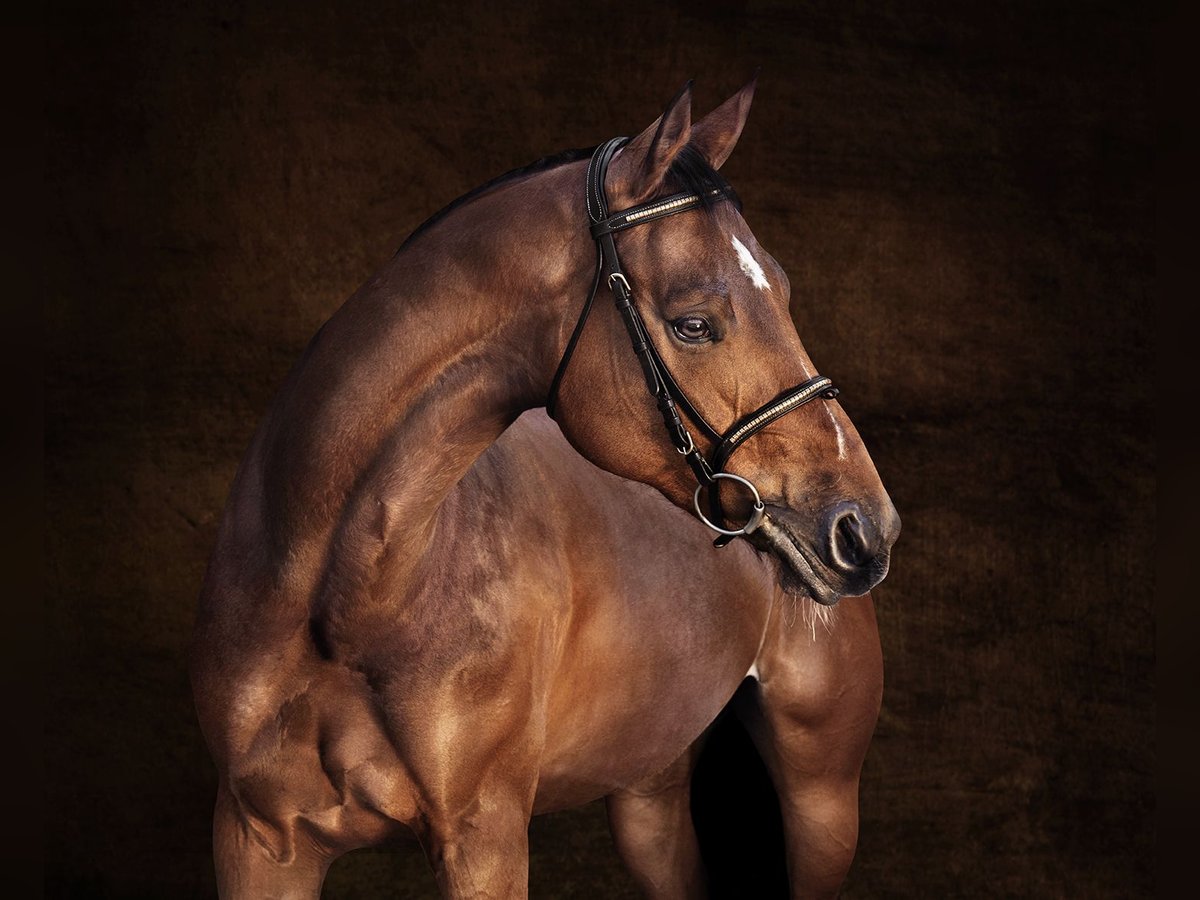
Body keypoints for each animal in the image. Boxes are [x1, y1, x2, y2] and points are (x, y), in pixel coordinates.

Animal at [192, 79, 897, 900]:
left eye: (783, 292)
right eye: (693, 323)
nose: (864, 526)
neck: (339, 600)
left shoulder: (485, 840)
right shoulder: (258, 844)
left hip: (822, 798)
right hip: (650, 793)